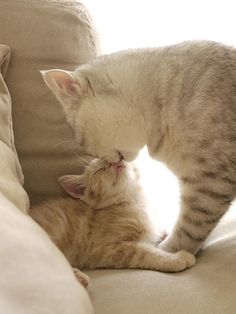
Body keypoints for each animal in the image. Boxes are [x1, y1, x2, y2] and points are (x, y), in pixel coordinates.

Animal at [29, 159, 195, 288]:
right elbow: (146, 253)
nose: (114, 161)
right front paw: (178, 259)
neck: (136, 201)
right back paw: (79, 278)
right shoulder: (106, 249)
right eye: (100, 169)